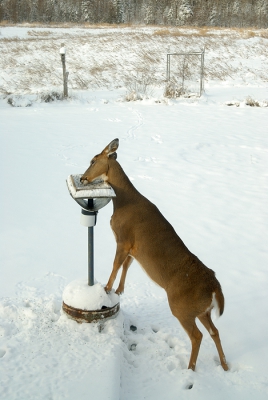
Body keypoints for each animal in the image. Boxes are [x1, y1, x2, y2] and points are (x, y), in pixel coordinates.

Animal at [81, 138, 228, 372]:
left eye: (93, 160)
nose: (83, 178)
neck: (123, 201)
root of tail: (215, 287)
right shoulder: (132, 247)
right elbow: (126, 265)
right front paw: (119, 290)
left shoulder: (123, 238)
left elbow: (116, 264)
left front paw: (106, 288)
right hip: (202, 310)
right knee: (214, 331)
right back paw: (224, 365)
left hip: (181, 307)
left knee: (197, 336)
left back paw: (190, 369)